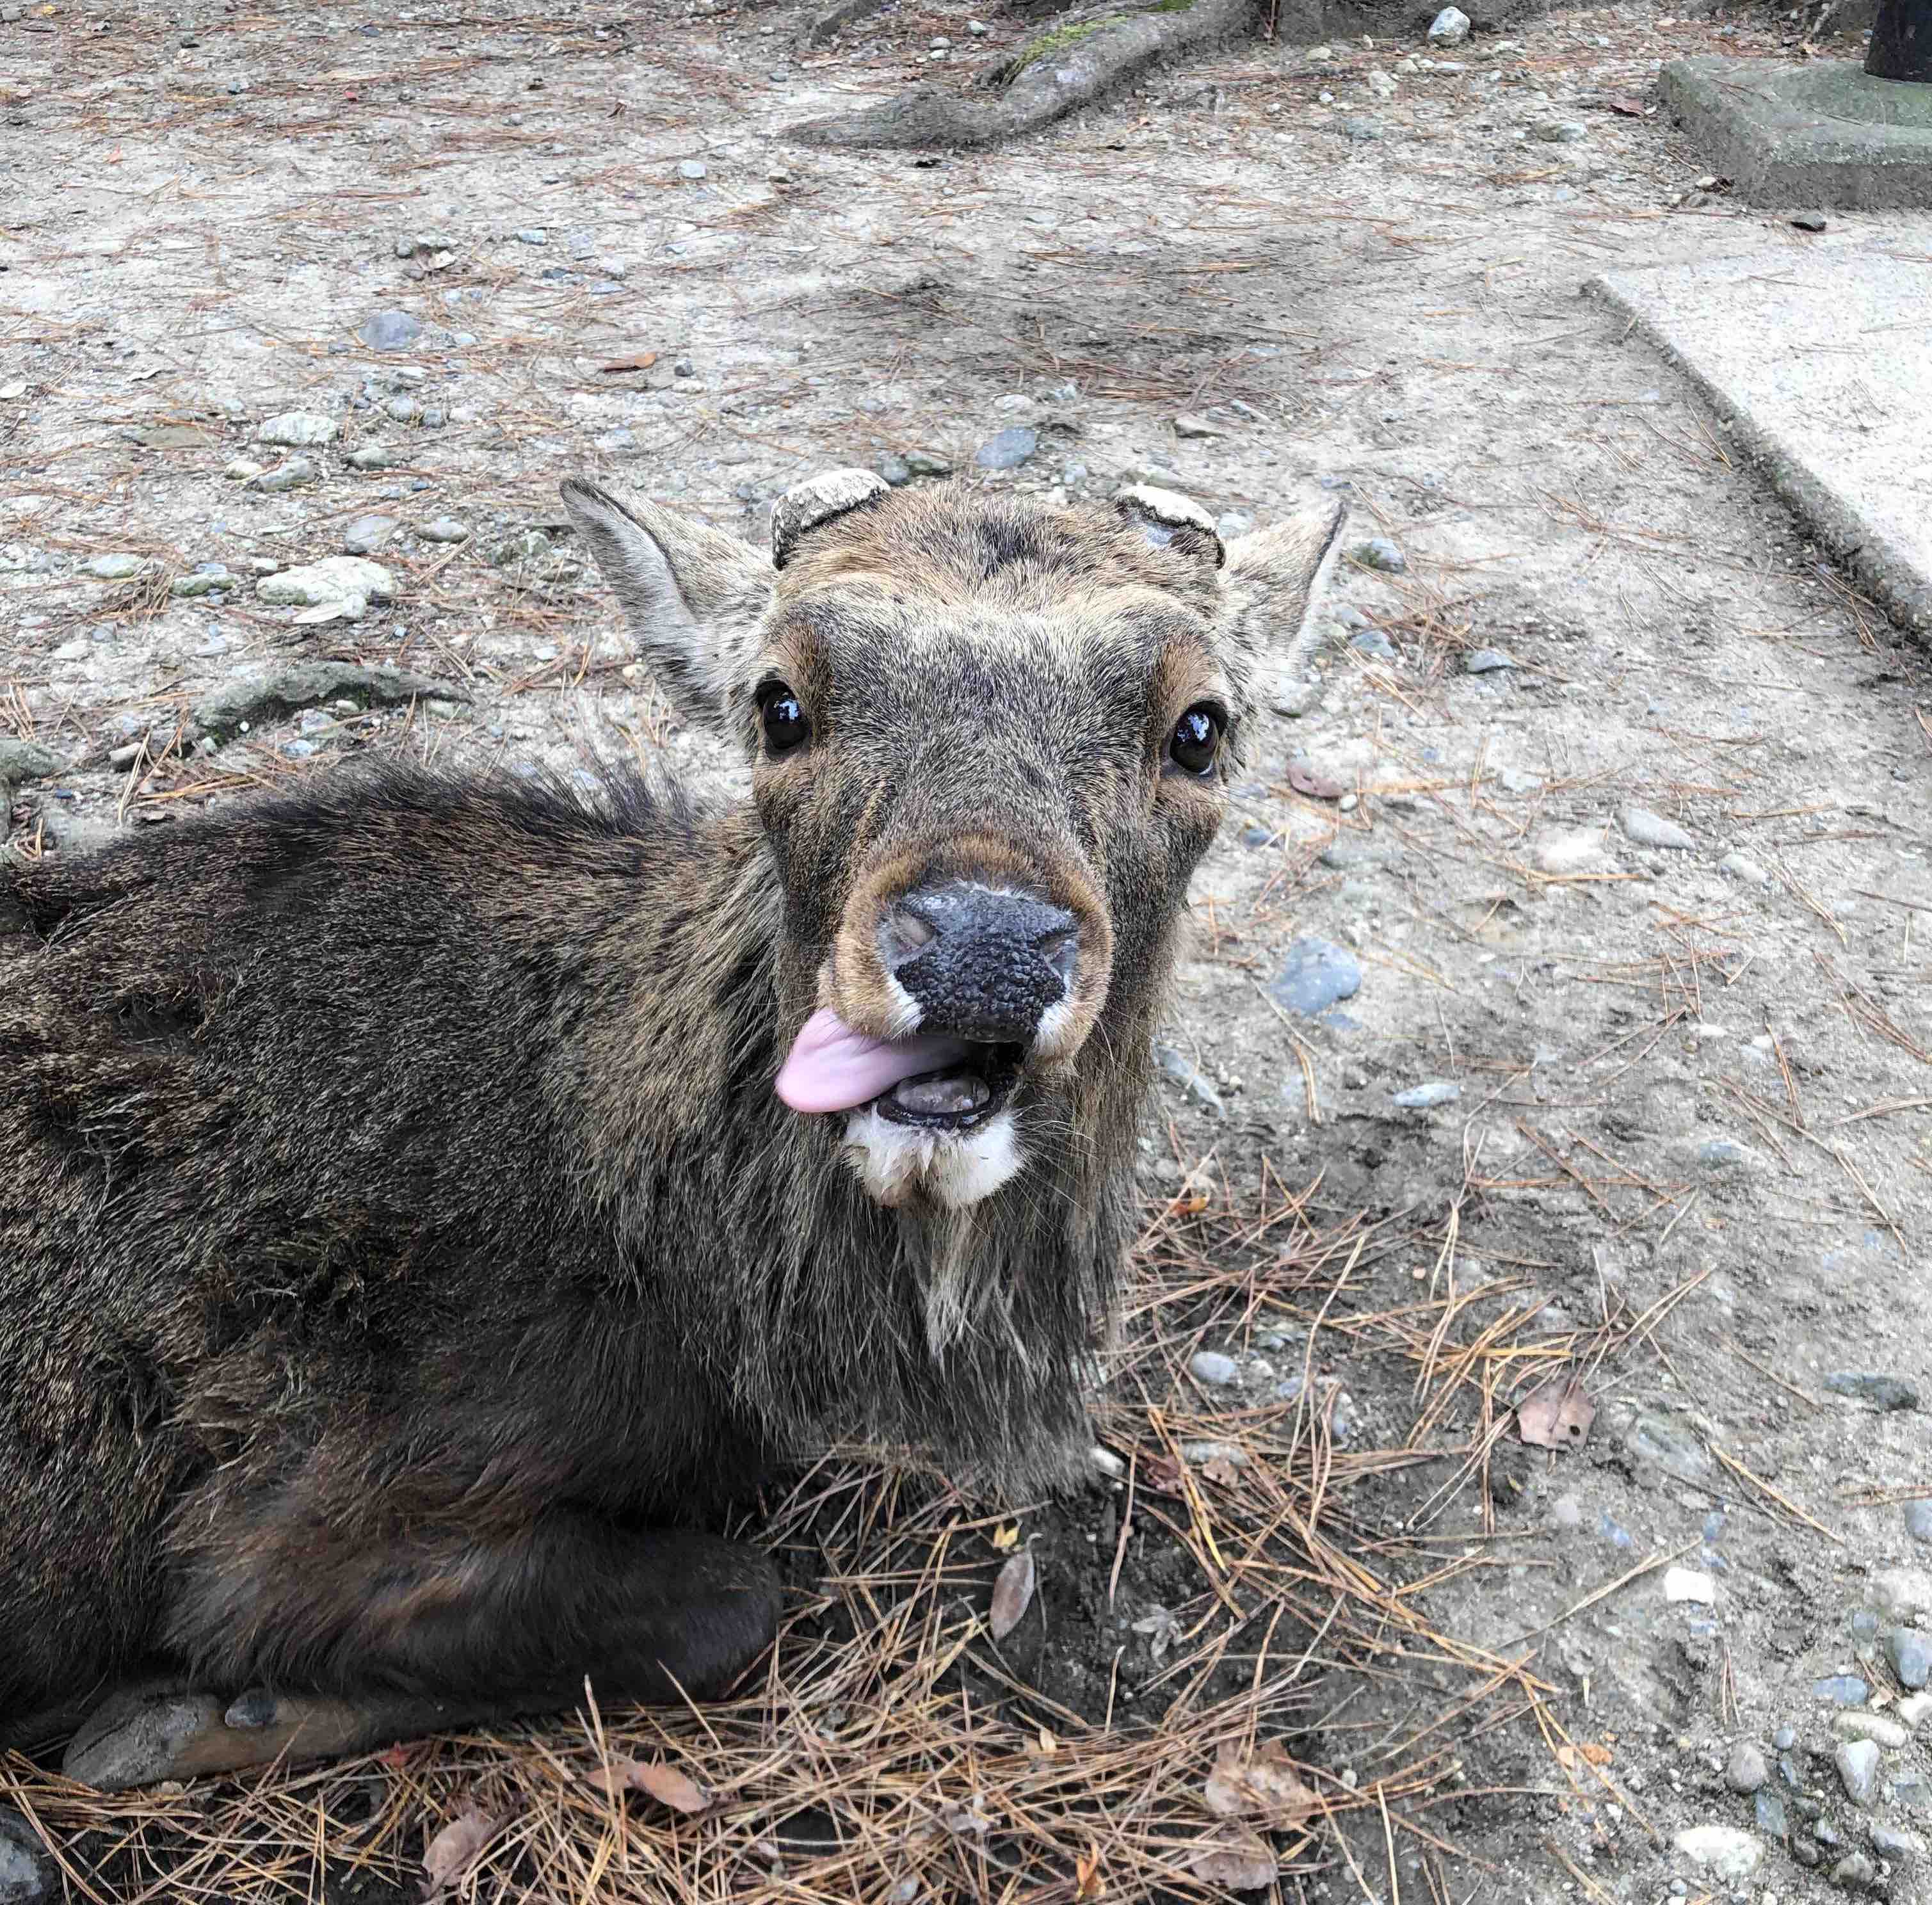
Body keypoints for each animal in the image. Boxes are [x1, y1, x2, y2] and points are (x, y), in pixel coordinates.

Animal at [0, 463, 1344, 1785]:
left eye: (1199, 727)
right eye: (779, 704)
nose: (984, 945)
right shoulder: (294, 1519)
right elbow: (730, 1605)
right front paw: (190, 1717)